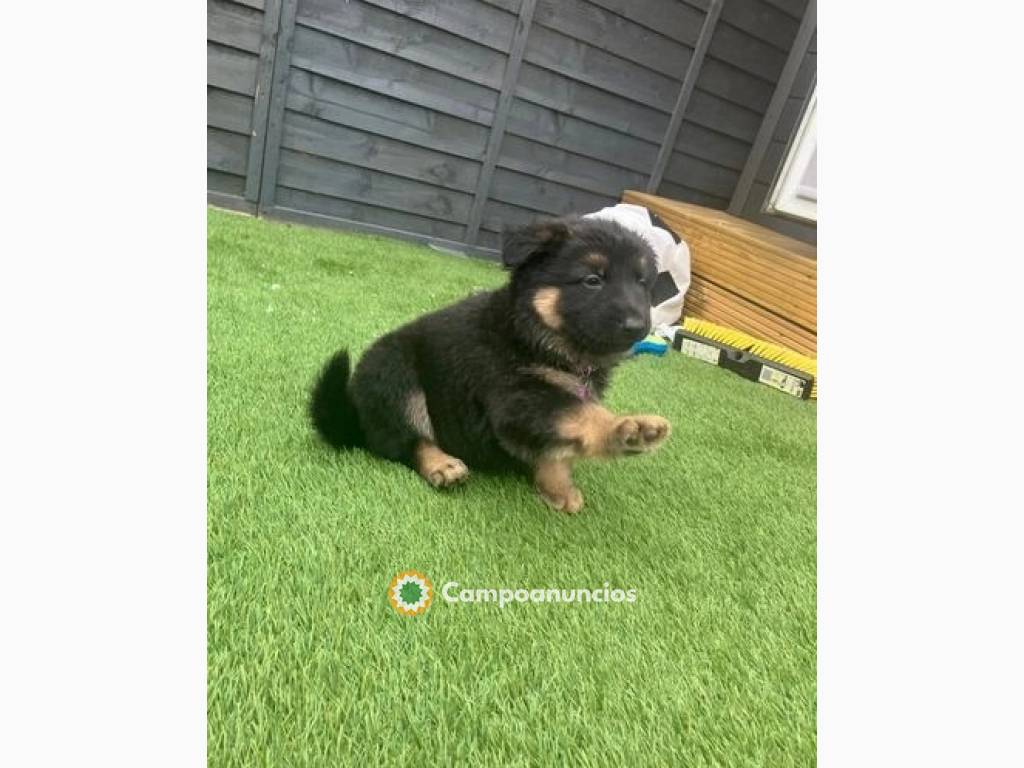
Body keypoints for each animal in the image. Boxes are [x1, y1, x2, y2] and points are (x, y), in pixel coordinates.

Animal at [309, 217, 671, 514]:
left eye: (642, 282)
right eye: (593, 280)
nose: (638, 326)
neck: (537, 338)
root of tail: (356, 415)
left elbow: (554, 449)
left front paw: (557, 488)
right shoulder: (514, 396)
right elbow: (576, 413)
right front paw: (626, 429)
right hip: (394, 374)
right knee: (404, 440)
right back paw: (440, 464)